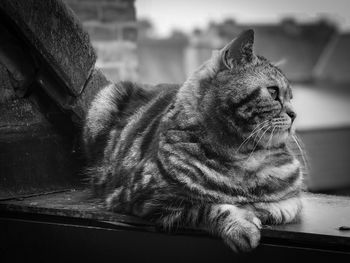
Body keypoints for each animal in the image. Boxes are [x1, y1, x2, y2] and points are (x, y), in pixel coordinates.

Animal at [82, 29, 304, 254]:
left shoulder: (292, 198)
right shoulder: (153, 198)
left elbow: (283, 207)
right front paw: (242, 226)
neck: (242, 155)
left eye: (291, 98)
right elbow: (208, 208)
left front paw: (257, 209)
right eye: (273, 92)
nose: (294, 114)